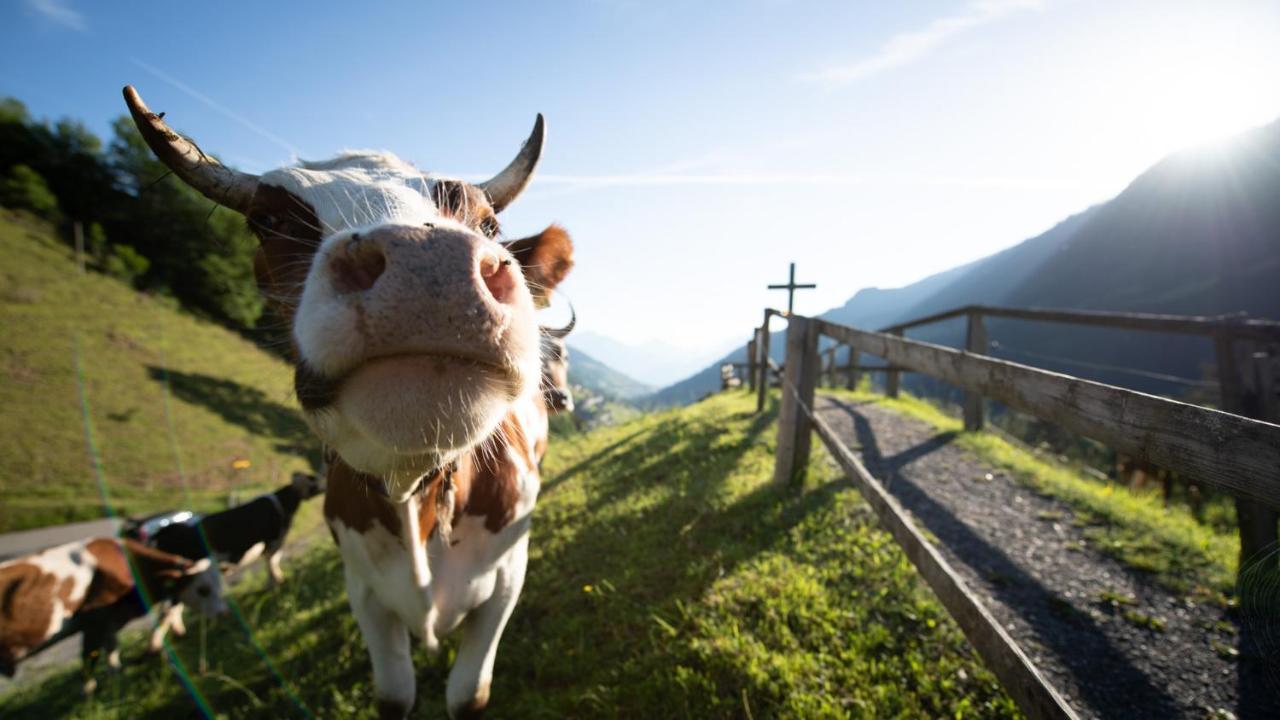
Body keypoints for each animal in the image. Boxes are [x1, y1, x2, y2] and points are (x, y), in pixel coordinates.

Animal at [0, 535, 225, 686]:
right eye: (203, 590)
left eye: (220, 585)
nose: (223, 613)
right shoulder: (93, 619)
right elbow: (89, 658)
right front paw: (89, 694)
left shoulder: (109, 619)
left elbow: (112, 649)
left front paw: (116, 676)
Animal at [141, 471, 325, 650]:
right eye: (312, 479)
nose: (324, 480)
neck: (282, 503)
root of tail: (163, 531)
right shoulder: (273, 542)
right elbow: (272, 563)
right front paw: (276, 583)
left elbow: (271, 564)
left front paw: (274, 582)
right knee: (169, 609)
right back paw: (156, 645)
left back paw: (177, 633)